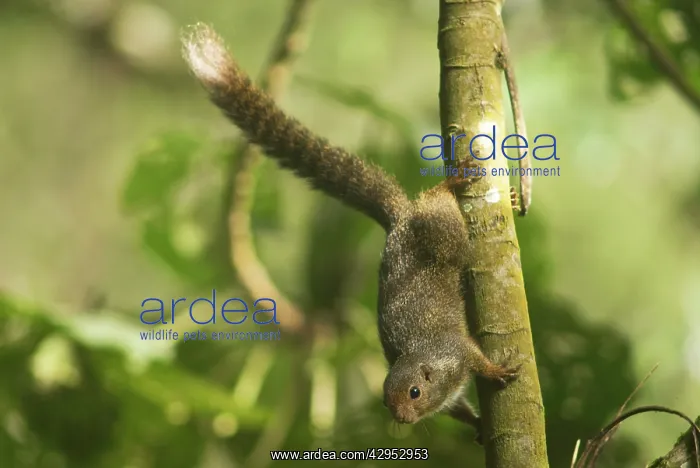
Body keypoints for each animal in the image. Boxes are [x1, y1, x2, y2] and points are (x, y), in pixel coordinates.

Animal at [182, 23, 521, 440]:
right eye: (386, 402)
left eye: (414, 392)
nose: (401, 419)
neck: (428, 365)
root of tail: (400, 219)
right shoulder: (450, 398)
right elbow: (460, 409)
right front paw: (478, 426)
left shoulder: (454, 352)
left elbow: (477, 358)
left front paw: (498, 371)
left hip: (442, 234)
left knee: (439, 206)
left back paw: (454, 184)